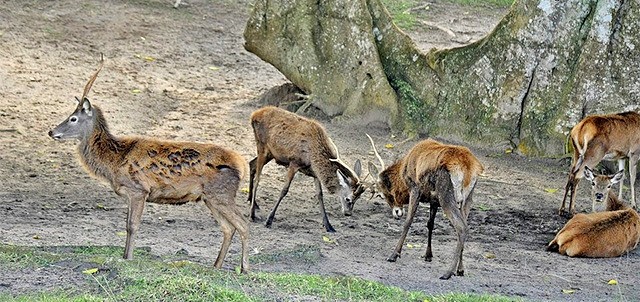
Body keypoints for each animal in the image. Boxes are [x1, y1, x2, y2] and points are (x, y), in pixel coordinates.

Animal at [48, 56, 250, 272]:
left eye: (73, 118)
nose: (51, 131)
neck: (113, 161)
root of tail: (242, 165)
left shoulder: (139, 189)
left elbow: (132, 225)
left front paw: (128, 258)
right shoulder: (132, 194)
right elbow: (126, 224)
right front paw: (124, 255)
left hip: (221, 194)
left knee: (243, 224)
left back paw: (244, 268)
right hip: (209, 197)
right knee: (228, 228)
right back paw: (216, 266)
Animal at [364, 136, 484, 280]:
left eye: (383, 194)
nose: (397, 212)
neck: (404, 170)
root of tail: (469, 167)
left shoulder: (415, 189)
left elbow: (408, 221)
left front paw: (394, 254)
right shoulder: (434, 200)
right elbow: (430, 224)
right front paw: (428, 255)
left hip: (447, 196)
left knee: (461, 227)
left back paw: (448, 272)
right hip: (467, 199)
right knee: (465, 225)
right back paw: (460, 269)